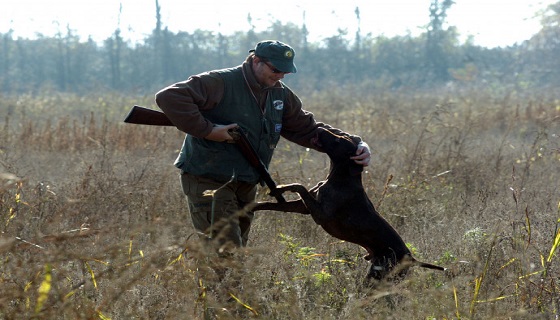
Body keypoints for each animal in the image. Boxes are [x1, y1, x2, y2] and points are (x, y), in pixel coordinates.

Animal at [252, 129, 444, 282]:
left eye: (338, 140)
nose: (320, 128)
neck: (341, 176)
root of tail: (412, 259)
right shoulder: (303, 207)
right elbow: (272, 203)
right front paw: (254, 205)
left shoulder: (321, 214)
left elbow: (300, 186)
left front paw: (282, 187)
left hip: (378, 278)